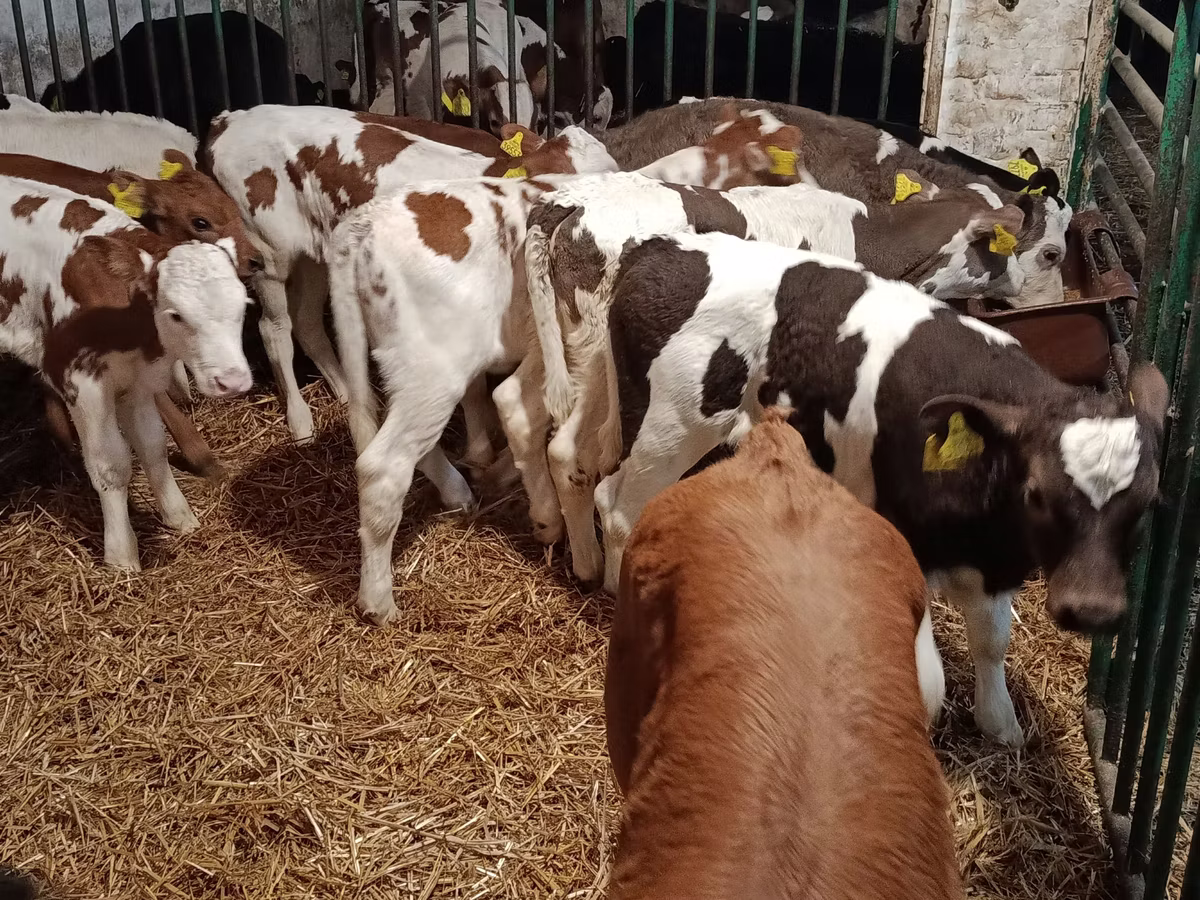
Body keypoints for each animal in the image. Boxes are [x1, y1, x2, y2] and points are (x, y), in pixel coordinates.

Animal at [0, 176, 253, 570]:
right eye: (175, 314)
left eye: (242, 305)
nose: (233, 381)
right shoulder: (80, 383)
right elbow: (111, 464)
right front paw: (122, 556)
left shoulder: (138, 381)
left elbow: (152, 447)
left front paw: (180, 517)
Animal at [204, 103, 617, 444]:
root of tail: (232, 117)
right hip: (268, 253)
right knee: (274, 330)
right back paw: (301, 421)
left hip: (315, 256)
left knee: (307, 322)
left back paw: (347, 392)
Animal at [593, 229, 1168, 747]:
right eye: (1036, 494)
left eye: (1148, 506)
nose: (1091, 610)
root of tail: (659, 246)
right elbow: (929, 685)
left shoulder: (993, 561)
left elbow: (992, 639)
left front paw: (1000, 721)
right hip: (672, 425)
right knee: (619, 504)